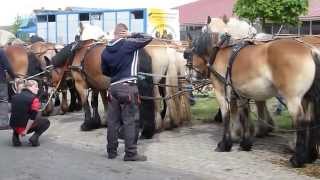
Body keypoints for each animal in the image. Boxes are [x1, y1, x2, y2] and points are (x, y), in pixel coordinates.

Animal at [191, 16, 320, 167]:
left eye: (201, 35)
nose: (195, 70)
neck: (225, 50)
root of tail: (310, 50)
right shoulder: (241, 93)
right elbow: (244, 115)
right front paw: (245, 144)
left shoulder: (221, 92)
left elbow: (226, 116)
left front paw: (224, 144)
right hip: (307, 97)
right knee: (311, 121)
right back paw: (310, 156)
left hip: (293, 98)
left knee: (300, 122)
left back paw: (297, 159)